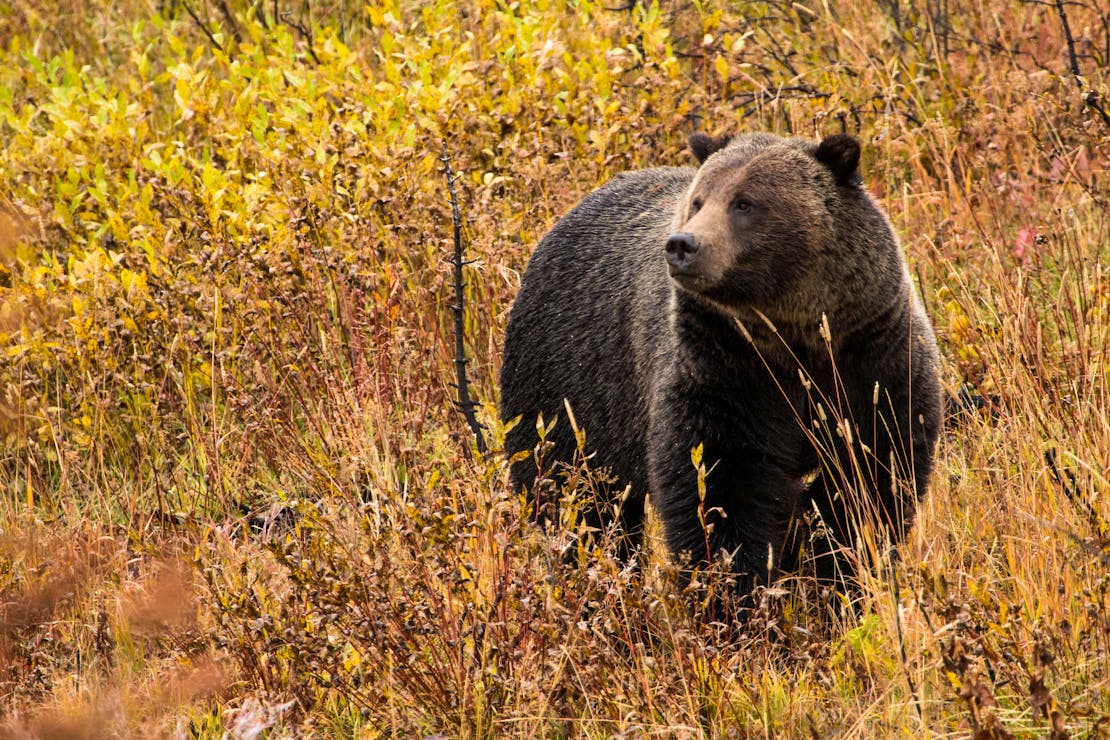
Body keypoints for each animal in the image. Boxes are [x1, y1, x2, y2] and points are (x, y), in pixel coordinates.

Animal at [499, 132, 942, 604]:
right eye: (698, 200)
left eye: (744, 202)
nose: (682, 245)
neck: (796, 341)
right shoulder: (724, 369)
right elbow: (719, 486)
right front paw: (733, 590)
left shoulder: (873, 361)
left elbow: (871, 478)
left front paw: (834, 575)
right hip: (568, 385)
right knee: (579, 498)